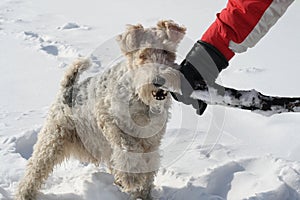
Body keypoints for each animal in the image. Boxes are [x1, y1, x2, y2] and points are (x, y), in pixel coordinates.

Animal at [16, 20, 186, 200]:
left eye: (167, 51)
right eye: (142, 55)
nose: (159, 81)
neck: (141, 100)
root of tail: (67, 89)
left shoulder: (152, 140)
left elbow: (148, 162)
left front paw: (143, 193)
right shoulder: (108, 119)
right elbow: (128, 148)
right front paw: (132, 178)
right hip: (53, 139)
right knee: (35, 168)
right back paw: (24, 194)